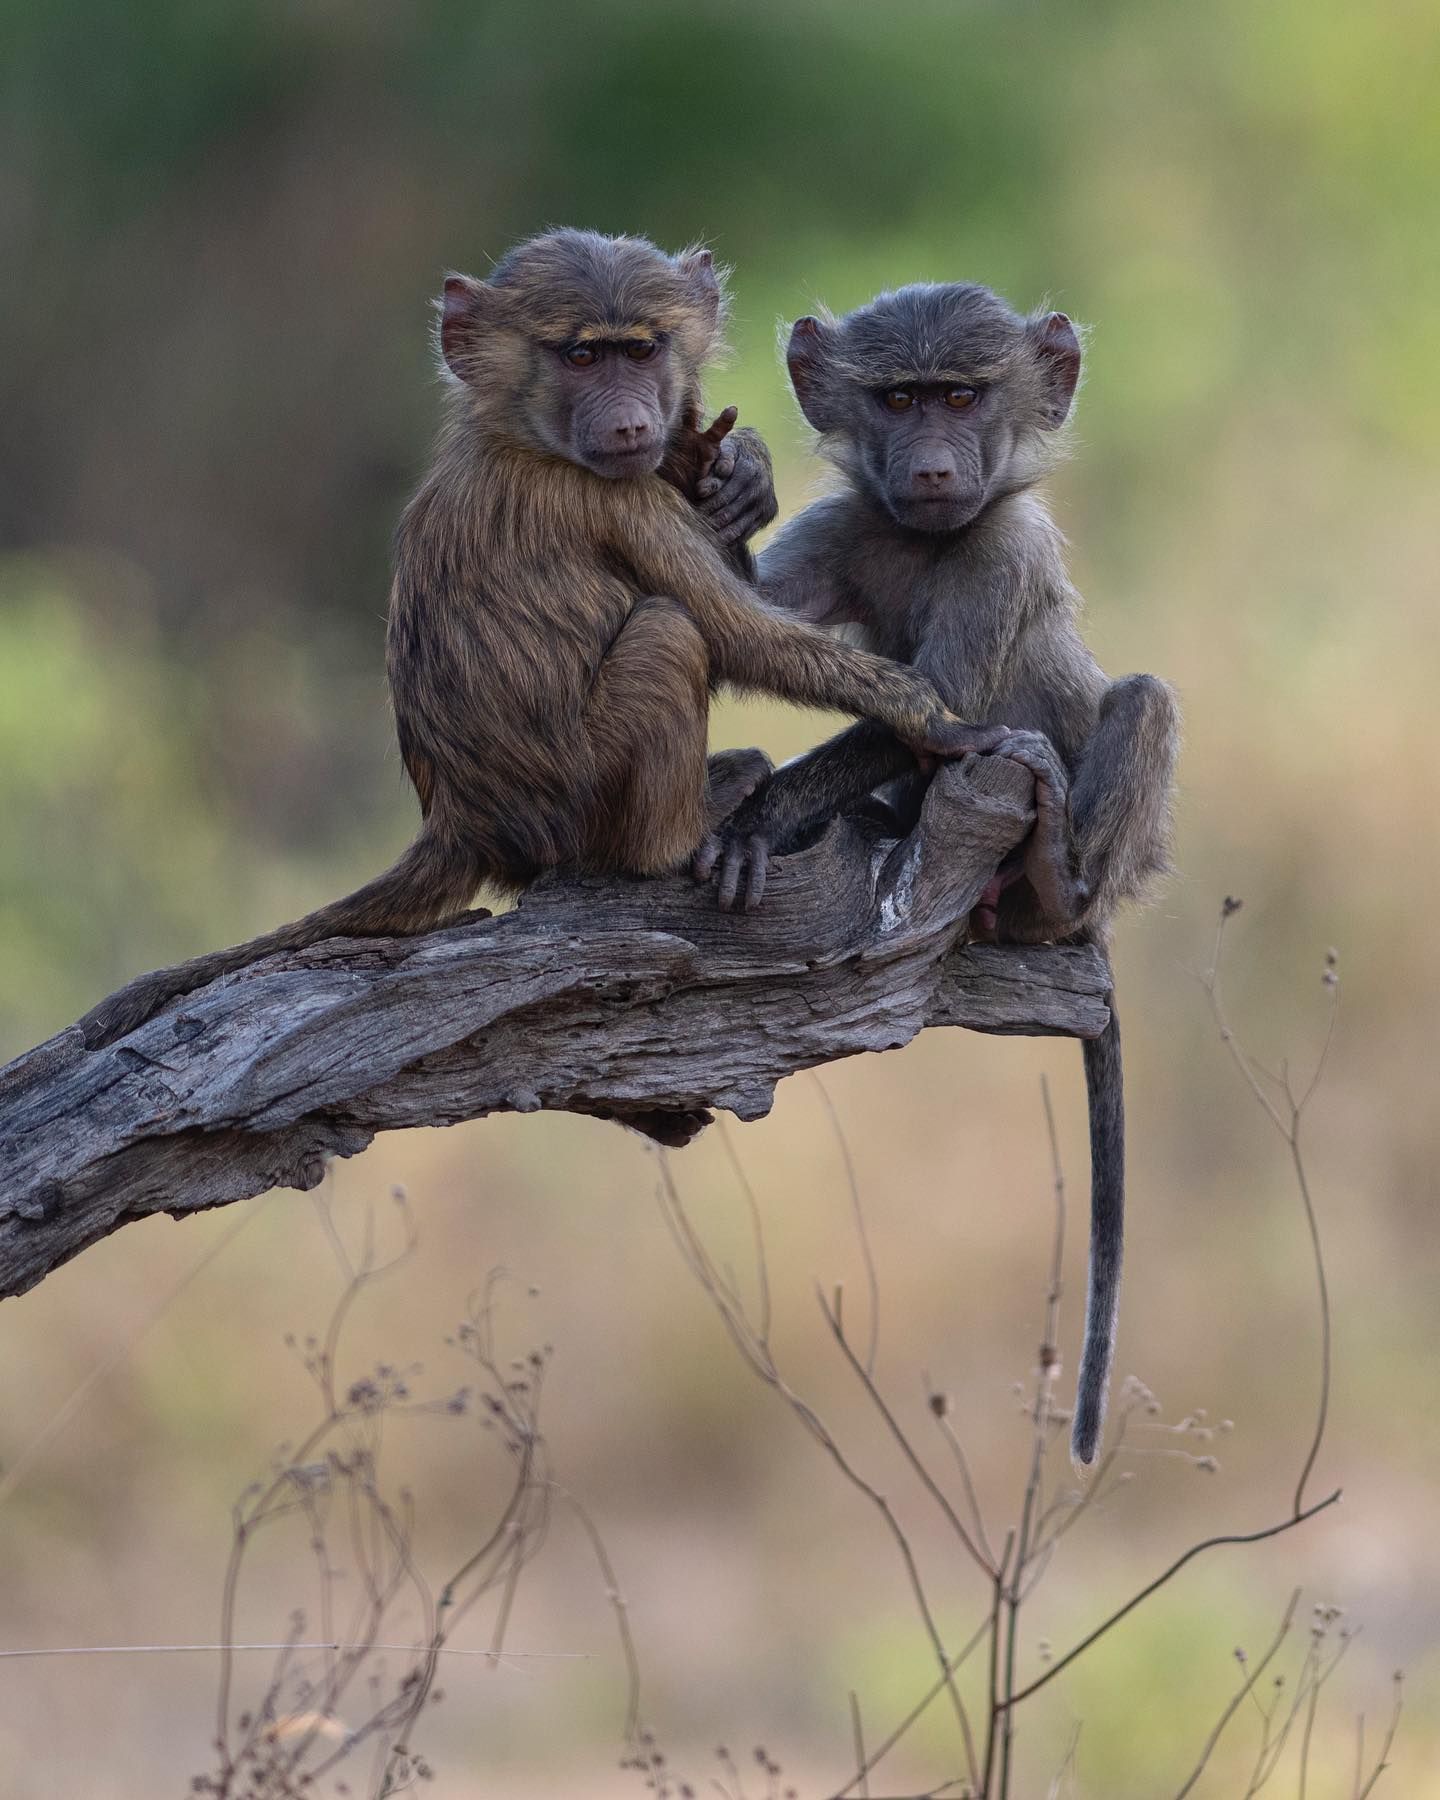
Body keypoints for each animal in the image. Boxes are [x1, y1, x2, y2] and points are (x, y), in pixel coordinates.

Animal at [77, 231, 1006, 1054]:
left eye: (641, 349)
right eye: (582, 356)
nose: (632, 425)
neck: (519, 433)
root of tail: (463, 819)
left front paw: (735, 473)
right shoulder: (616, 497)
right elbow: (740, 633)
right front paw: (938, 722)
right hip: (578, 802)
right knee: (670, 633)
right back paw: (687, 831)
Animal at [694, 281, 1180, 1464]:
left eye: (961, 396)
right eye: (899, 399)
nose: (928, 467)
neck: (934, 535)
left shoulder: (1001, 550)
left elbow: (942, 705)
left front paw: (760, 826)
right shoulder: (848, 524)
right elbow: (758, 631)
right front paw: (738, 488)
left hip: (1096, 868)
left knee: (1143, 699)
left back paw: (1052, 884)